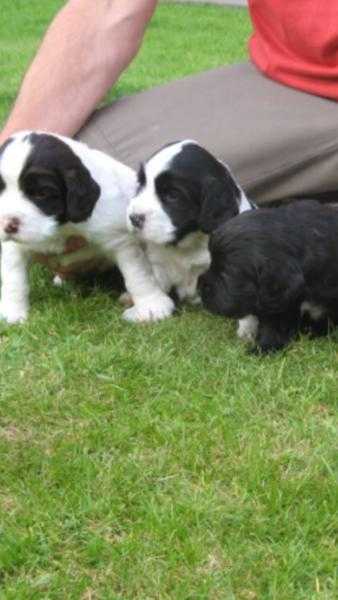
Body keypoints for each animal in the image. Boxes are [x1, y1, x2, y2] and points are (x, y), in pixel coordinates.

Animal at [0, 132, 174, 324]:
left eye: (42, 193)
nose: (7, 224)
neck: (63, 227)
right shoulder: (15, 247)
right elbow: (14, 279)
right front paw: (12, 312)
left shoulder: (120, 242)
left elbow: (138, 275)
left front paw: (151, 306)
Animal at [127, 139, 256, 324]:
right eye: (142, 184)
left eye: (173, 195)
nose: (134, 218)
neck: (187, 240)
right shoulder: (158, 262)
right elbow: (154, 281)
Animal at [198, 200, 338, 352]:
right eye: (211, 261)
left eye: (226, 273)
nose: (199, 288)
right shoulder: (277, 301)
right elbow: (273, 326)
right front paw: (263, 348)